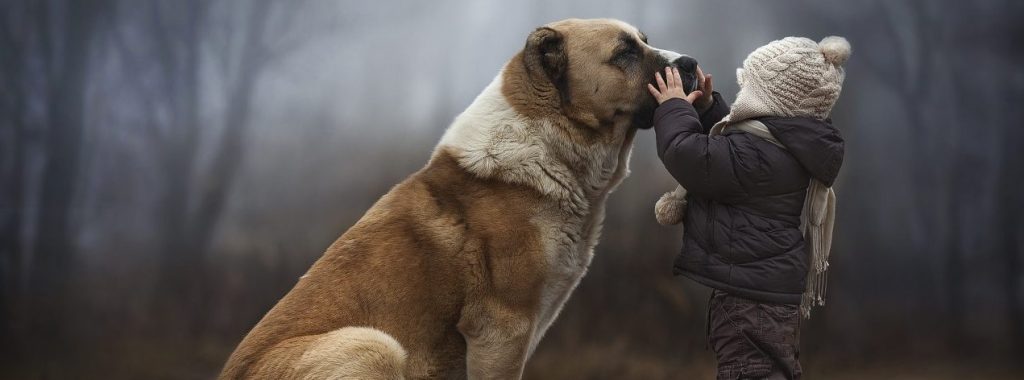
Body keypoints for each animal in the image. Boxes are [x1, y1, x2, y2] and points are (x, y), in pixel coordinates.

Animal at [221, 18, 700, 380]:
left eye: (643, 40)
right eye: (624, 53)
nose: (692, 63)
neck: (548, 142)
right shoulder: (501, 330)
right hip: (371, 345)